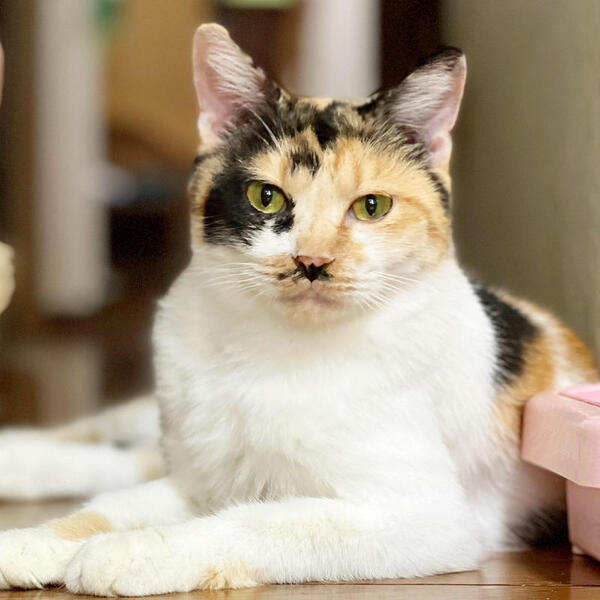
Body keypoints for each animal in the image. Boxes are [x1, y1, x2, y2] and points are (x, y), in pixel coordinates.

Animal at [0, 23, 597, 596]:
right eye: (266, 198)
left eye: (372, 207)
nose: (312, 261)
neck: (278, 349)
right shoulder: (197, 477)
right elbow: (112, 506)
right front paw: (39, 540)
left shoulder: (427, 518)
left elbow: (259, 521)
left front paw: (137, 552)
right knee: (108, 447)